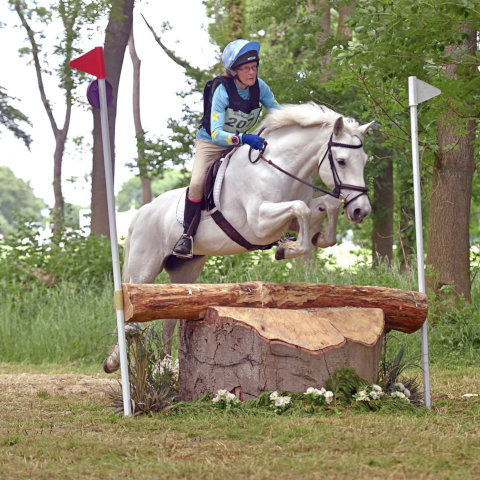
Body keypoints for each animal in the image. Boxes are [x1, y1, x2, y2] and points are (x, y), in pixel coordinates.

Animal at [103, 102, 374, 373]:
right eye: (341, 161)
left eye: (364, 161)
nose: (361, 211)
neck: (279, 168)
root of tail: (140, 213)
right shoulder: (259, 223)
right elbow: (301, 209)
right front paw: (286, 250)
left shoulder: (293, 216)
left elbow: (325, 206)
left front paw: (315, 239)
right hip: (145, 269)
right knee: (132, 310)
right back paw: (117, 361)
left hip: (185, 271)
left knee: (169, 314)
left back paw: (165, 365)